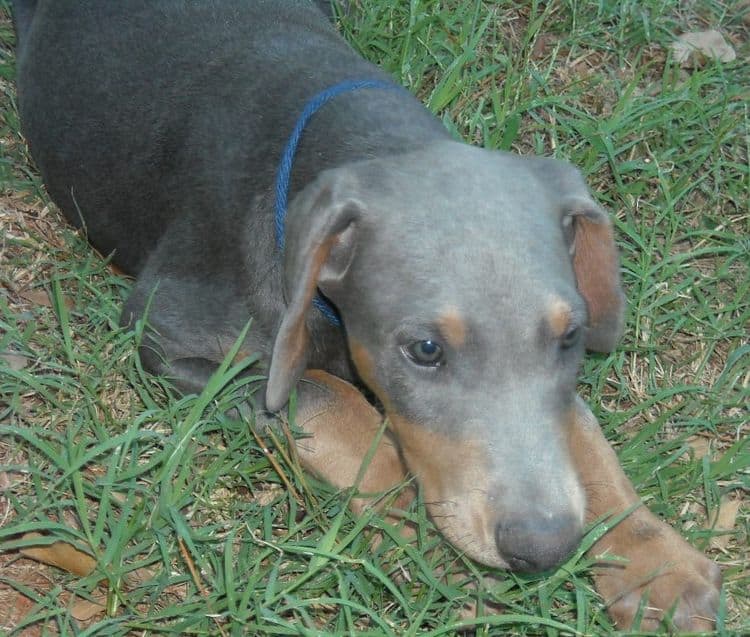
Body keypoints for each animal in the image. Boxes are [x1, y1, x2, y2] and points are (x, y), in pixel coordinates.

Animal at [13, 0, 724, 628]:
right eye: (425, 350)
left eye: (571, 336)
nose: (544, 547)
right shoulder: (166, 332)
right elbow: (323, 395)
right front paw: (410, 517)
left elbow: (580, 432)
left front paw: (655, 562)